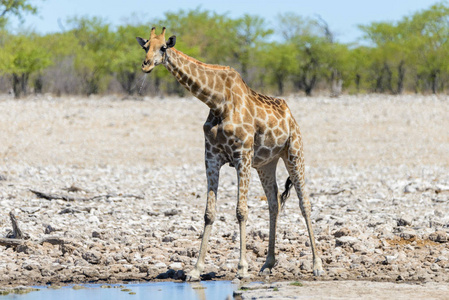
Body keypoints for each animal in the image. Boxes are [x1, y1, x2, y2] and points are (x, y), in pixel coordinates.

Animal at [136, 27, 322, 280]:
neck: (216, 101)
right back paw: (268, 263)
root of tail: (291, 116)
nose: (145, 65)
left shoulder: (241, 155)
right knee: (274, 202)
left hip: (294, 152)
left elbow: (241, 211)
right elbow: (209, 213)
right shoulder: (212, 157)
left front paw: (242, 268)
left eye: (163, 47)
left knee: (305, 203)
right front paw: (195, 270)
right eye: (145, 46)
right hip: (266, 163)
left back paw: (317, 265)